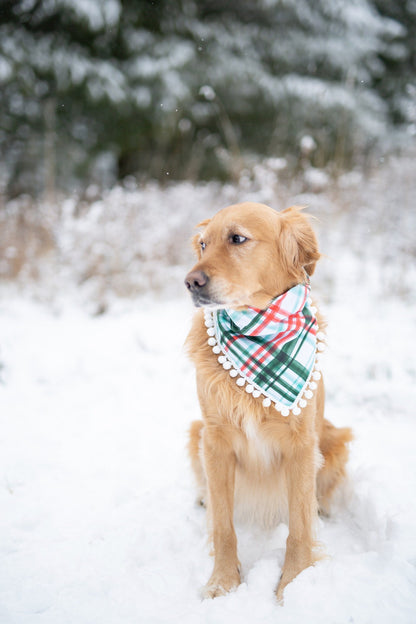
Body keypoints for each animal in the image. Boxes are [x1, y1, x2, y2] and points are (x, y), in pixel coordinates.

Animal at [184, 202, 352, 604]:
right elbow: (223, 526)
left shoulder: (302, 443)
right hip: (196, 432)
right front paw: (223, 582)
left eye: (237, 238)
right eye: (202, 244)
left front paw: (293, 585)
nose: (190, 282)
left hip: (335, 438)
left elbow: (301, 526)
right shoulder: (214, 439)